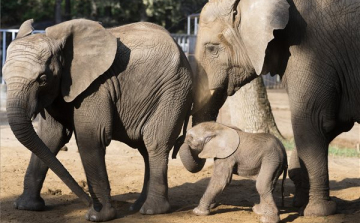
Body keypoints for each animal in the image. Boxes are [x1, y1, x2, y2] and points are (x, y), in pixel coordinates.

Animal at [2, 19, 194, 221]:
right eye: (4, 76)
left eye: (43, 79)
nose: (88, 201)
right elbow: (50, 137)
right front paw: (26, 207)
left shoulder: (96, 87)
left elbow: (91, 138)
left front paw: (98, 216)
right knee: (145, 150)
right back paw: (136, 207)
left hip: (174, 91)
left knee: (155, 143)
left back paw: (152, 211)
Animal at [183, 0, 360, 218]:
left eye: (211, 48)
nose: (216, 206)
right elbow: (333, 125)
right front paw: (299, 202)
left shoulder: (309, 52)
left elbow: (313, 122)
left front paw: (317, 212)